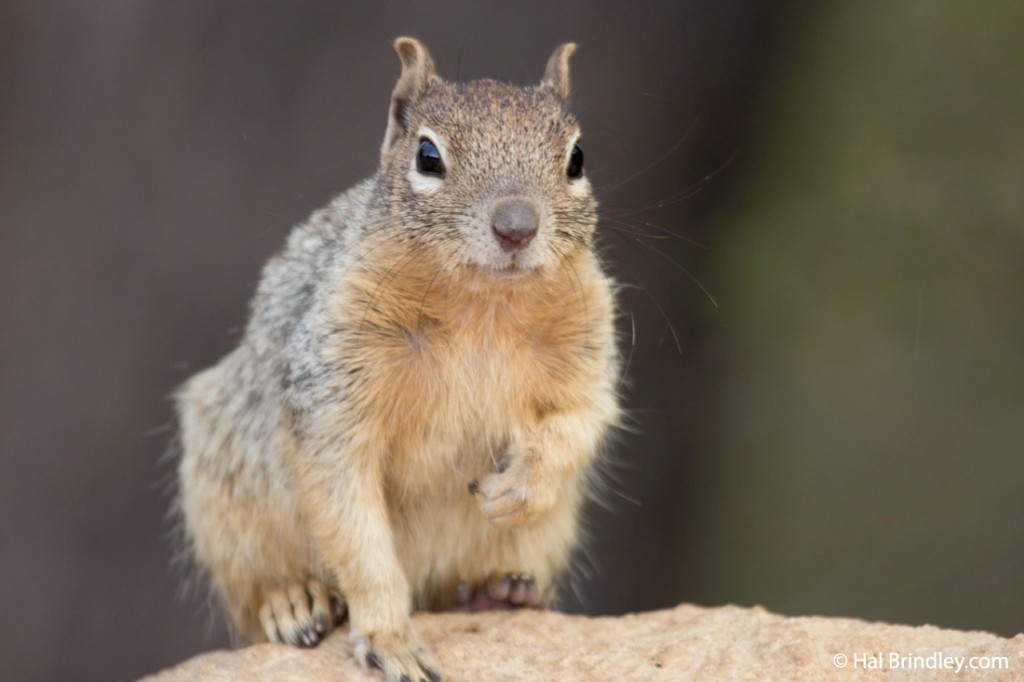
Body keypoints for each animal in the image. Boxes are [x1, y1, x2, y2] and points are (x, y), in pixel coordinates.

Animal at [175, 37, 618, 679]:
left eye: (577, 158)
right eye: (428, 157)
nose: (516, 227)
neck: (482, 307)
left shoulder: (588, 351)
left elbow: (579, 422)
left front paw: (519, 488)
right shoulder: (332, 394)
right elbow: (354, 527)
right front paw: (389, 638)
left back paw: (501, 591)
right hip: (222, 496)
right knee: (253, 595)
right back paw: (294, 602)